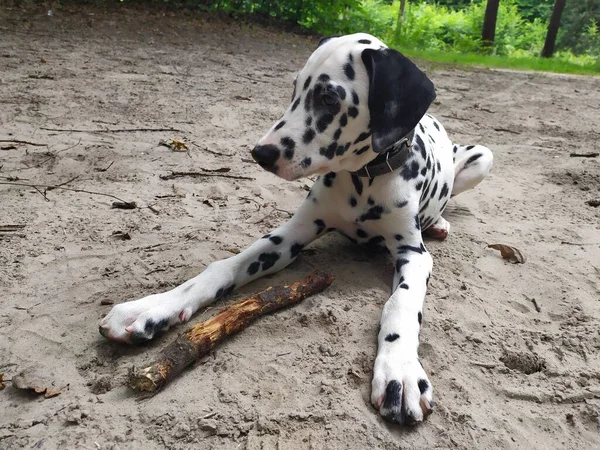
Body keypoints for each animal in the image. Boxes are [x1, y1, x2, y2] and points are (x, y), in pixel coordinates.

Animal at [99, 33, 492, 424]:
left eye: (329, 98)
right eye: (295, 89)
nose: (261, 153)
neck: (362, 180)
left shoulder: (413, 253)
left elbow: (401, 302)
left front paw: (401, 371)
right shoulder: (289, 236)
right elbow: (222, 267)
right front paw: (152, 307)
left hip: (482, 157)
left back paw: (439, 223)